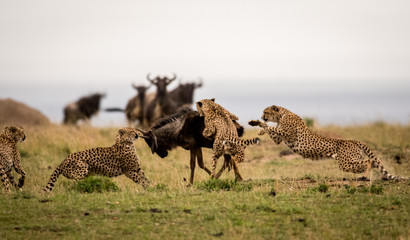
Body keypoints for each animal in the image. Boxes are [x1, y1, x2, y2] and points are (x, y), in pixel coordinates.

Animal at [250, 105, 404, 180]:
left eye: (266, 112)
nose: (262, 116)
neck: (282, 114)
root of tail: (352, 140)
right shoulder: (279, 138)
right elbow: (271, 130)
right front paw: (261, 130)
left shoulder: (289, 134)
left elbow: (272, 128)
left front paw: (257, 124)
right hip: (352, 159)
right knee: (368, 161)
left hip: (345, 162)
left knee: (369, 161)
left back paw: (365, 176)